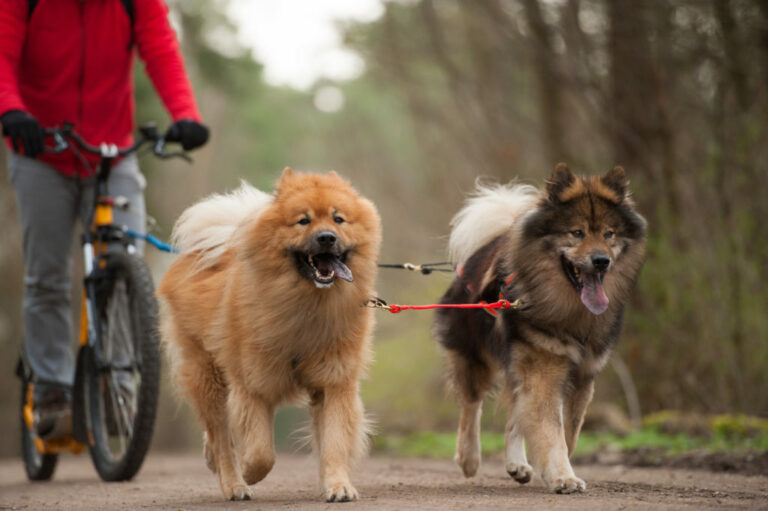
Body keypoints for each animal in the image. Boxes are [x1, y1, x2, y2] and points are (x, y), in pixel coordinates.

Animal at [157, 169, 380, 504]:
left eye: (338, 219)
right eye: (303, 220)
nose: (326, 237)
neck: (309, 308)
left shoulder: (335, 381)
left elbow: (335, 441)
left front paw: (338, 485)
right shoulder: (255, 385)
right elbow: (262, 452)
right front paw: (249, 473)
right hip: (207, 374)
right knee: (221, 435)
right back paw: (234, 484)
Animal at [436, 166, 644, 494]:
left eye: (609, 234)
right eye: (577, 232)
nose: (601, 261)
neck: (571, 311)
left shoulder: (582, 376)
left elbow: (567, 431)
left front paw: (555, 469)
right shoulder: (544, 365)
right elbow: (550, 428)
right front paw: (562, 476)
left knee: (514, 412)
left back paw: (517, 464)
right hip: (476, 353)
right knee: (471, 404)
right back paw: (469, 458)